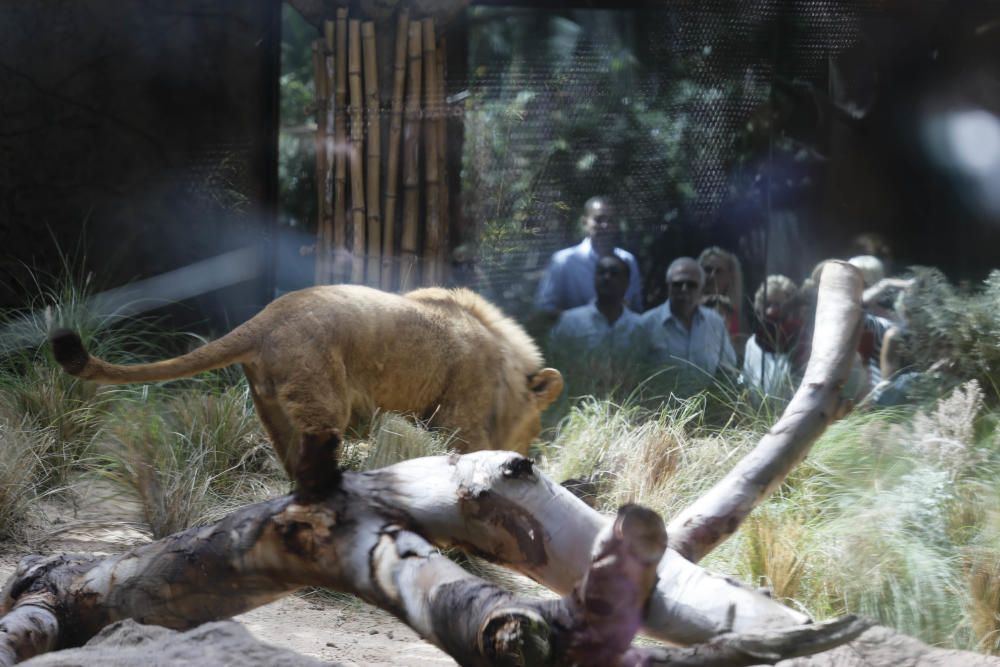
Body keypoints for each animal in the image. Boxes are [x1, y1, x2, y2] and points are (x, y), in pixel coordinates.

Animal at [50, 284, 564, 478]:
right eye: (537, 428)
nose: (531, 454)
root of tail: (267, 317)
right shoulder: (460, 420)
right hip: (323, 400)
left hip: (273, 408)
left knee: (292, 463)